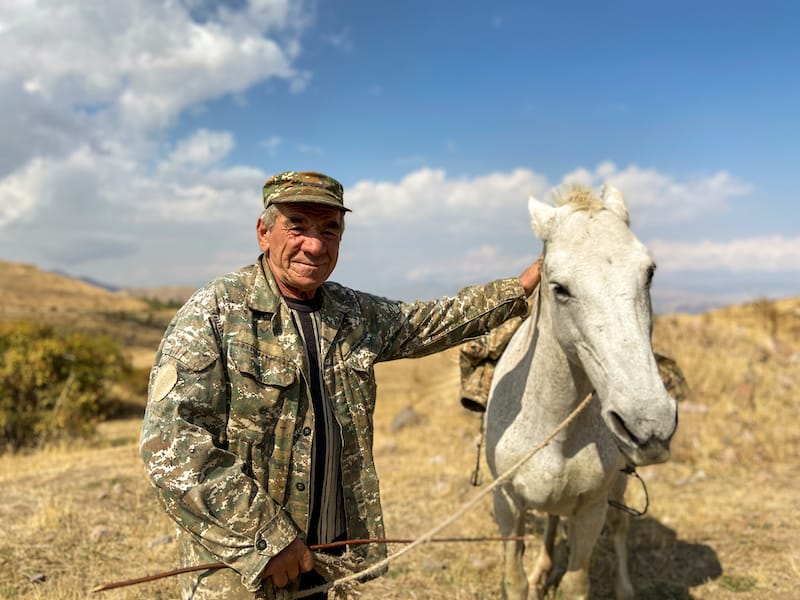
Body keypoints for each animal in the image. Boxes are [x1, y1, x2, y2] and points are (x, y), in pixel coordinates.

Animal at [484, 185, 680, 596]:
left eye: (649, 273)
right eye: (559, 288)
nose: (649, 425)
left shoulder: (592, 509)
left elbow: (577, 584)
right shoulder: (506, 504)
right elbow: (515, 581)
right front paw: (533, 579)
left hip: (618, 487)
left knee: (620, 527)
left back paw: (624, 588)